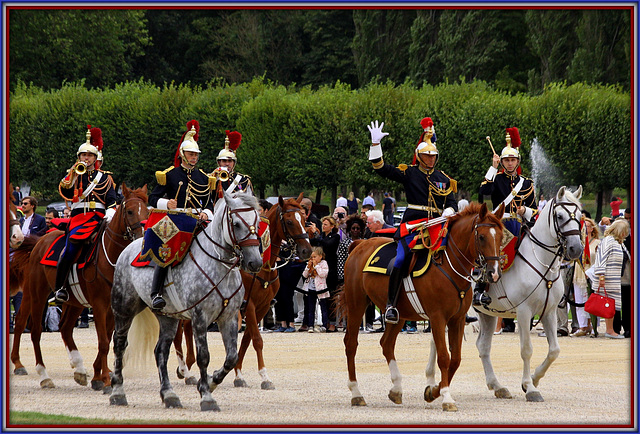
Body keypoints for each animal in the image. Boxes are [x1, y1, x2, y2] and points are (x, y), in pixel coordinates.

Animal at [11, 183, 148, 390]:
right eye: (130, 211)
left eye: (147, 211)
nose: (140, 240)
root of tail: (40, 241)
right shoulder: (99, 305)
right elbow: (104, 341)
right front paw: (105, 379)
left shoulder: (113, 308)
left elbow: (109, 339)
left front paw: (99, 375)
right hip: (36, 294)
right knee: (32, 329)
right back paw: (42, 375)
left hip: (75, 301)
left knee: (65, 328)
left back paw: (79, 368)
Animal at [109, 192, 262, 410]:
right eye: (236, 223)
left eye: (256, 223)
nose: (255, 262)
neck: (218, 266)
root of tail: (129, 248)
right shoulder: (200, 317)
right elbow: (203, 356)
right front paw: (207, 396)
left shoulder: (229, 317)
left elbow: (232, 357)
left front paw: (212, 382)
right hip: (124, 309)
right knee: (120, 345)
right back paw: (117, 392)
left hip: (168, 317)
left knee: (160, 351)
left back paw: (169, 395)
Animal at [340, 202, 504, 412]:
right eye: (482, 237)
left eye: (500, 237)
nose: (493, 273)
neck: (449, 267)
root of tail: (360, 244)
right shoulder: (437, 318)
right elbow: (444, 357)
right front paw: (446, 398)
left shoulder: (457, 320)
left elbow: (455, 359)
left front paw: (433, 392)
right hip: (356, 304)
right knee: (351, 344)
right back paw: (356, 393)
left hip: (399, 315)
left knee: (386, 344)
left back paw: (396, 389)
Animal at [428, 186, 584, 404]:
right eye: (560, 216)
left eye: (580, 215)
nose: (575, 248)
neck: (541, 262)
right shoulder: (524, 312)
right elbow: (526, 349)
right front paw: (530, 387)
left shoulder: (549, 312)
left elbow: (554, 350)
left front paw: (534, 379)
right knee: (436, 342)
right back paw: (432, 382)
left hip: (487, 314)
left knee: (483, 346)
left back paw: (497, 385)